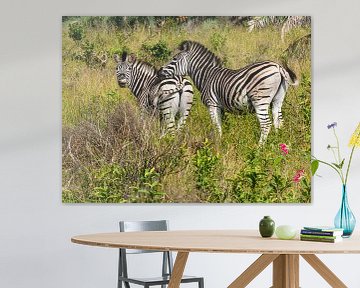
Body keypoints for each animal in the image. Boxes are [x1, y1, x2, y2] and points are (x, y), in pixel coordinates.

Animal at [159, 40, 300, 144]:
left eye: (175, 59)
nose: (160, 71)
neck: (207, 76)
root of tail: (278, 67)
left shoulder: (212, 104)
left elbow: (216, 126)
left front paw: (218, 145)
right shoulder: (220, 107)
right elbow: (222, 126)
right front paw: (222, 141)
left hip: (260, 100)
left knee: (266, 124)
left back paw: (259, 148)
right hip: (277, 100)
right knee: (279, 121)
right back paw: (278, 143)